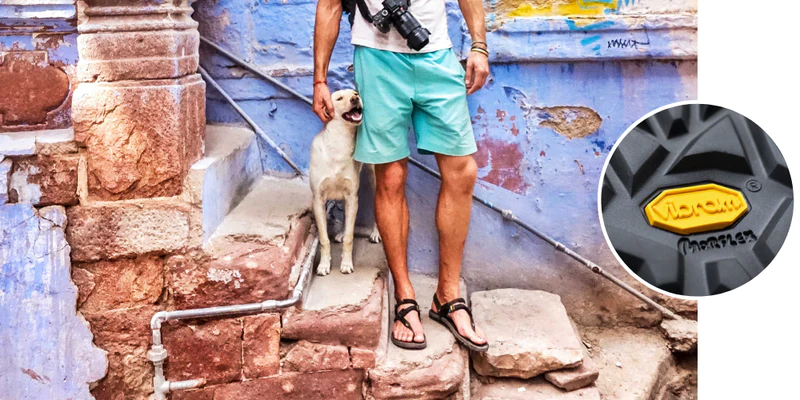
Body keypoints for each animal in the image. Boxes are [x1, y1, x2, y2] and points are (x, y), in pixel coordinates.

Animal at [309, 89, 382, 276]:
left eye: (355, 93)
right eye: (339, 98)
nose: (355, 98)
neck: (339, 142)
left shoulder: (352, 196)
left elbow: (350, 237)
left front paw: (347, 264)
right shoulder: (318, 199)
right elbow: (324, 239)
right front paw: (324, 265)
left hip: (374, 180)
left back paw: (375, 233)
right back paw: (341, 232)